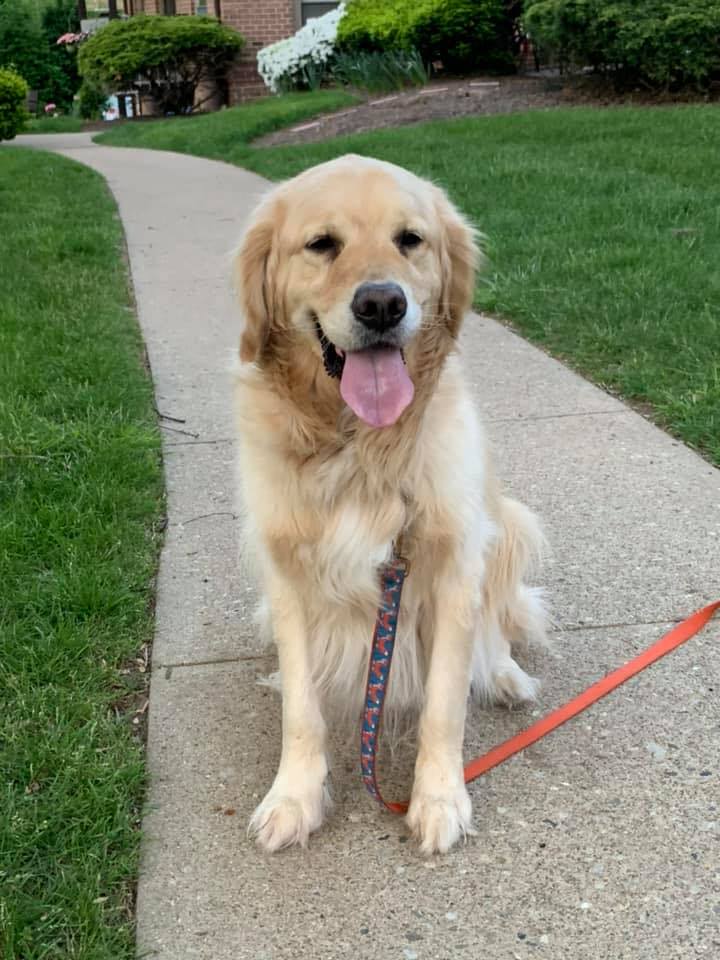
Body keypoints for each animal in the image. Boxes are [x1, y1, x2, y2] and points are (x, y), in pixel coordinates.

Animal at [233, 156, 544, 856]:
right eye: (322, 244)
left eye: (411, 240)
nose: (382, 304)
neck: (359, 445)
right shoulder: (286, 573)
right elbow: (301, 709)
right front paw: (294, 797)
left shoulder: (455, 564)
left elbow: (444, 705)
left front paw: (440, 799)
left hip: (509, 522)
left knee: (496, 629)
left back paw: (506, 677)